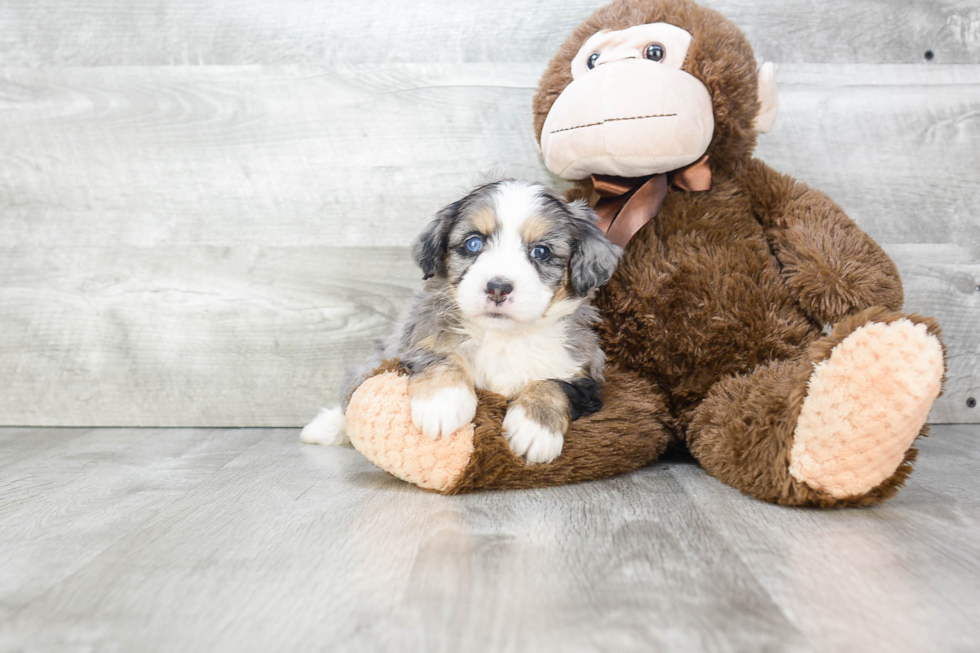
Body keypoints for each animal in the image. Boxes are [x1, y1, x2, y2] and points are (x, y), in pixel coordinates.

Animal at [300, 178, 620, 464]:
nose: (498, 287)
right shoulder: (412, 340)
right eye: (473, 243)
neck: (502, 337)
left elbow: (554, 384)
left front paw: (535, 428)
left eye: (541, 251)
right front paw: (443, 403)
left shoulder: (584, 374)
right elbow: (440, 356)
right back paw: (324, 427)